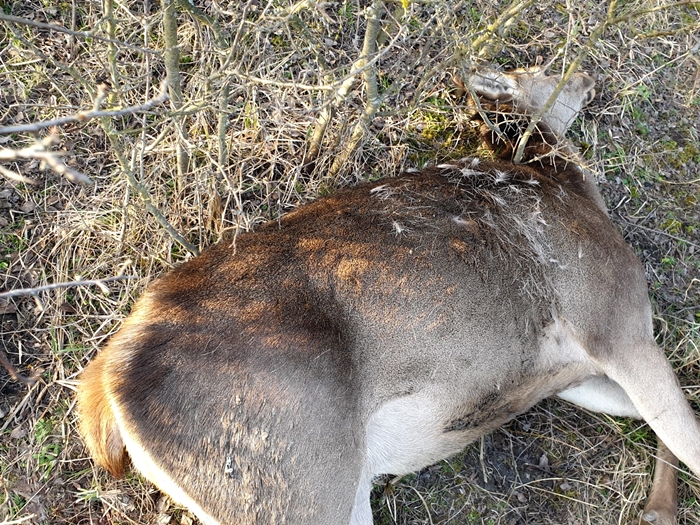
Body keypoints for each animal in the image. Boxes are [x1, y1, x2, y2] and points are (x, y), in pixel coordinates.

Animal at [78, 66, 700, 524]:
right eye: (543, 69)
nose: (590, 76)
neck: (570, 189)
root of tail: (105, 379)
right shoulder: (612, 318)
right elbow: (689, 436)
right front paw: (661, 511)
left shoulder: (575, 375)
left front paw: (658, 510)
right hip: (293, 484)